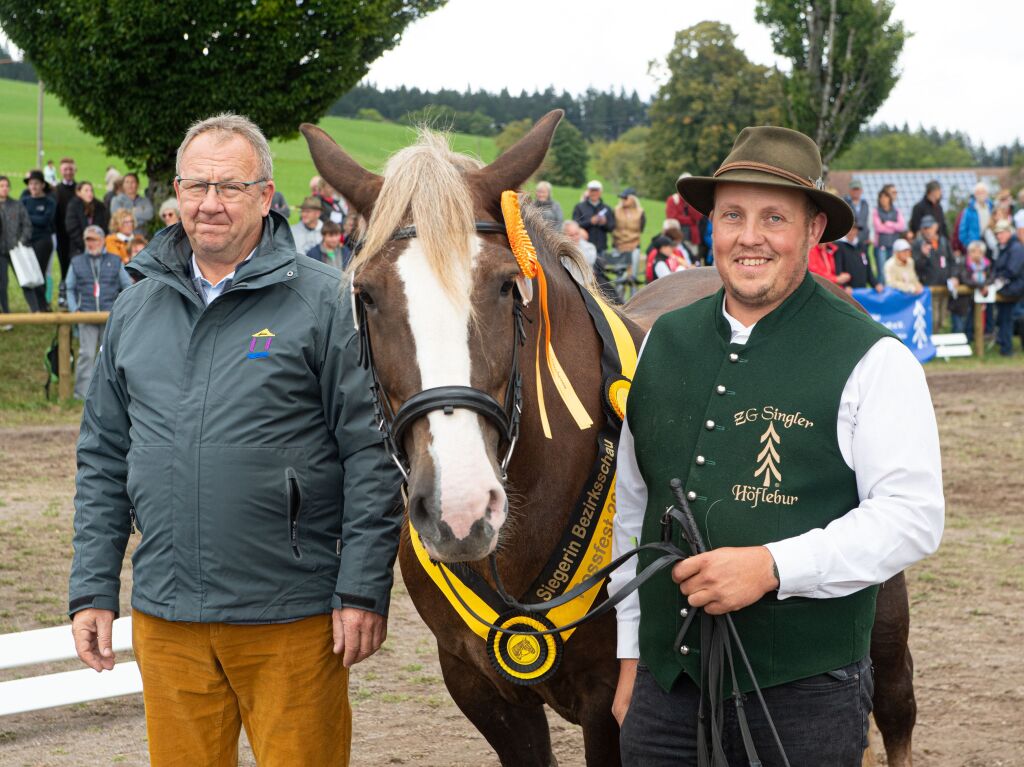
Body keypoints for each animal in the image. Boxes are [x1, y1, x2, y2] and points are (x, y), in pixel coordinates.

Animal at [299, 112, 917, 765]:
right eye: (366, 294)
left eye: (505, 286)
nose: (460, 509)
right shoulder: (482, 688)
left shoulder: (611, 705)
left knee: (895, 706)